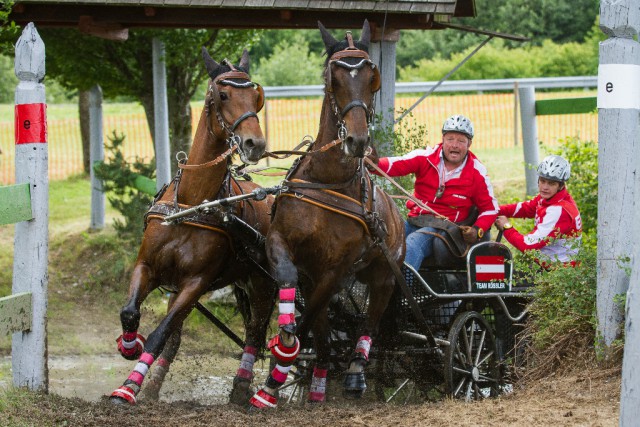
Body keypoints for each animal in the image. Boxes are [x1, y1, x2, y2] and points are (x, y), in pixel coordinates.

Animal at [109, 48, 278, 406]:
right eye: (222, 94)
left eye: (255, 98)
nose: (254, 143)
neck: (191, 203)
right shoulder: (149, 268)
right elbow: (131, 312)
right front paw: (129, 348)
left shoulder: (196, 283)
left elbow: (160, 333)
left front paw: (128, 387)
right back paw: (155, 386)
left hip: (263, 282)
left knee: (255, 331)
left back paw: (242, 388)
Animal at [250, 21, 404, 410]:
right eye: (332, 77)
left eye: (372, 78)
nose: (358, 140)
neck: (328, 180)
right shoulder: (283, 245)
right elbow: (291, 287)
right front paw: (283, 349)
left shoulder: (336, 269)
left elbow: (310, 319)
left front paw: (276, 372)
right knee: (321, 330)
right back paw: (317, 381)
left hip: (384, 275)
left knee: (369, 321)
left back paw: (355, 371)